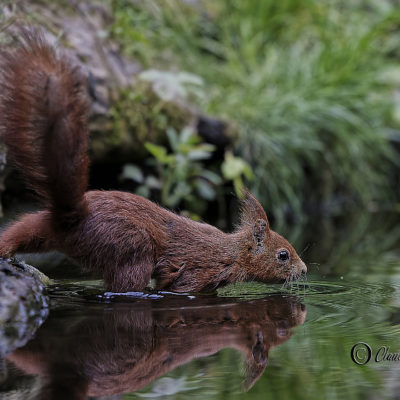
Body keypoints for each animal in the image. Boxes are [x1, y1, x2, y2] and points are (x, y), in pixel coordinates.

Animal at [0, 32, 306, 290]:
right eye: (283, 255)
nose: (303, 271)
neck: (230, 253)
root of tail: (74, 215)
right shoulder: (195, 275)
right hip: (129, 249)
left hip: (40, 225)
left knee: (19, 232)